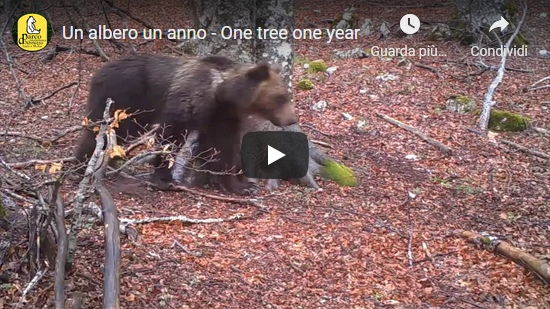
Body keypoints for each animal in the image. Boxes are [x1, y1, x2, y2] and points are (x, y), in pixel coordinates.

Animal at [76, 54, 300, 194]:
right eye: (280, 97)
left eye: (286, 96)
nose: (292, 119)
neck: (222, 94)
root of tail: (99, 71)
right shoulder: (189, 100)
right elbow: (171, 134)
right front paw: (163, 178)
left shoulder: (222, 117)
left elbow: (223, 148)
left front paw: (242, 186)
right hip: (122, 101)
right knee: (104, 131)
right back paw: (84, 165)